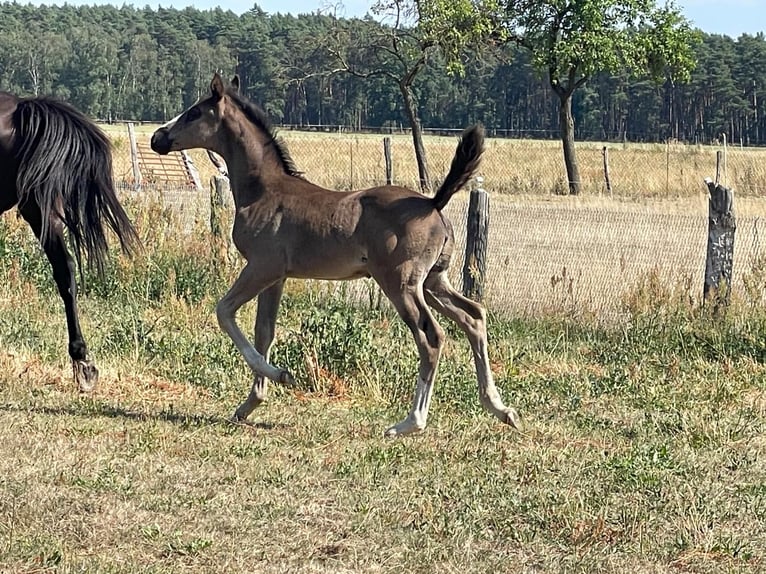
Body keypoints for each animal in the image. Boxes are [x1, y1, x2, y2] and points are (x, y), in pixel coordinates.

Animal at [151, 73, 520, 436]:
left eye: (194, 113)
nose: (157, 138)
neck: (264, 191)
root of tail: (433, 203)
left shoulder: (261, 267)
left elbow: (224, 311)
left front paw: (281, 375)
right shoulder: (277, 276)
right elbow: (264, 331)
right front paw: (251, 403)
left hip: (401, 283)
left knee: (432, 337)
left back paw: (409, 422)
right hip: (433, 280)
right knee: (473, 316)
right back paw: (500, 409)